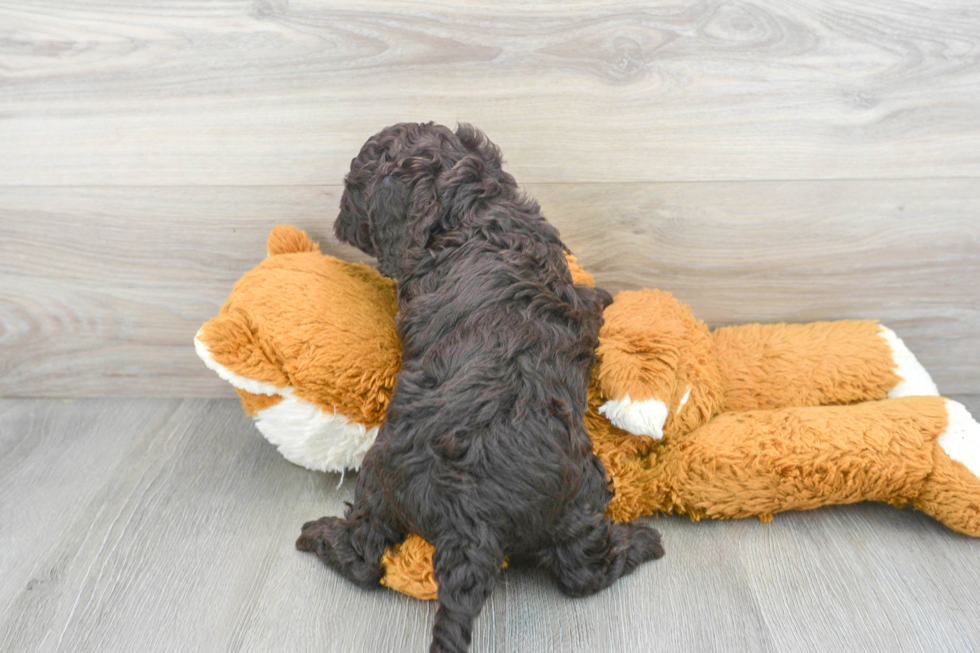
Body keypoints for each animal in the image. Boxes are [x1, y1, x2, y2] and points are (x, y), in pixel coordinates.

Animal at [296, 123, 668, 652]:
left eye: (351, 191)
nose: (338, 224)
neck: (469, 210)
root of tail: (469, 522)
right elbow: (591, 301)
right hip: (578, 496)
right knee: (581, 571)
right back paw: (643, 542)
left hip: (383, 482)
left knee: (365, 556)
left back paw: (319, 535)